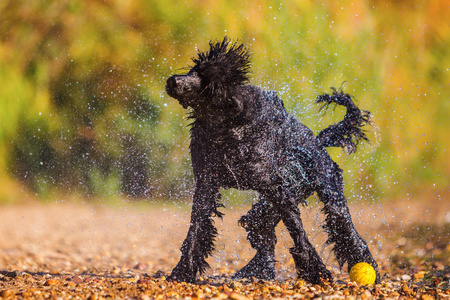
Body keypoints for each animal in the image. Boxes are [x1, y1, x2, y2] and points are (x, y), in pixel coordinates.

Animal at [164, 37, 376, 284]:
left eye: (208, 82)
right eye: (194, 69)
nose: (172, 80)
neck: (226, 130)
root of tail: (319, 142)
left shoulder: (278, 190)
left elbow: (298, 234)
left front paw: (316, 271)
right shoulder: (206, 186)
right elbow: (196, 232)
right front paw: (182, 271)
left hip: (330, 197)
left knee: (350, 236)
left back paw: (370, 268)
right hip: (262, 211)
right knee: (264, 237)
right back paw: (256, 271)